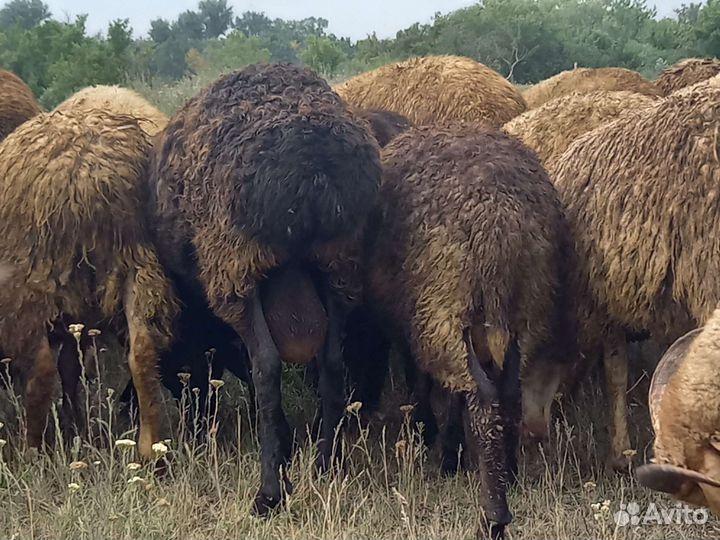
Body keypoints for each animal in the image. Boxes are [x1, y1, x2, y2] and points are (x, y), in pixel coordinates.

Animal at [0, 109, 178, 458]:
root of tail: (87, 173)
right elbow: (71, 367)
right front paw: (75, 425)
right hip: (136, 266)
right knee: (142, 351)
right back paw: (150, 450)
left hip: (28, 284)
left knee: (41, 368)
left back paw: (32, 451)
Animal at [147, 63, 382, 515]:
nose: (195, 423)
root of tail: (313, 168)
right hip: (338, 266)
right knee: (331, 362)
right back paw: (327, 465)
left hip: (236, 265)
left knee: (267, 366)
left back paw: (269, 491)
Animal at [364, 123, 577, 539]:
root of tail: (498, 226)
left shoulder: (418, 322)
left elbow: (426, 381)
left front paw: (432, 435)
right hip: (524, 313)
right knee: (506, 393)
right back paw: (507, 472)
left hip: (445, 309)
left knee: (480, 397)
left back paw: (492, 512)